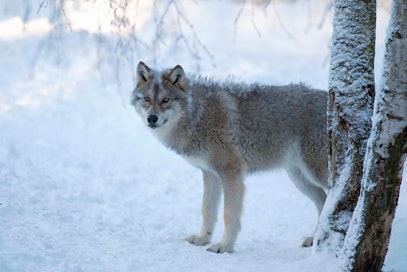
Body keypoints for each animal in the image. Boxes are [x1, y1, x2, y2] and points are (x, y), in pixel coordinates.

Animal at [132, 61, 330, 253]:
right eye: (147, 99)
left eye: (165, 100)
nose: (152, 118)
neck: (197, 116)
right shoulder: (210, 174)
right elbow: (207, 209)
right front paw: (202, 239)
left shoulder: (230, 174)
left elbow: (229, 215)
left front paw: (224, 246)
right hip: (299, 178)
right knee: (323, 201)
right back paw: (315, 239)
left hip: (316, 174)